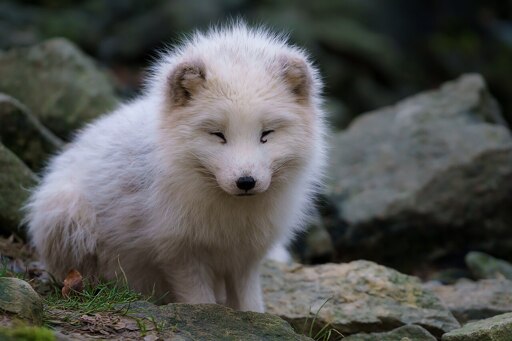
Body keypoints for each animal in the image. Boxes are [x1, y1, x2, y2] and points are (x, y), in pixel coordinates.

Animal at [25, 23, 324, 310]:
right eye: (218, 134)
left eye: (266, 134)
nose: (246, 181)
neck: (231, 218)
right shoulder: (180, 254)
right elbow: (200, 301)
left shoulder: (245, 258)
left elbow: (249, 303)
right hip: (67, 214)